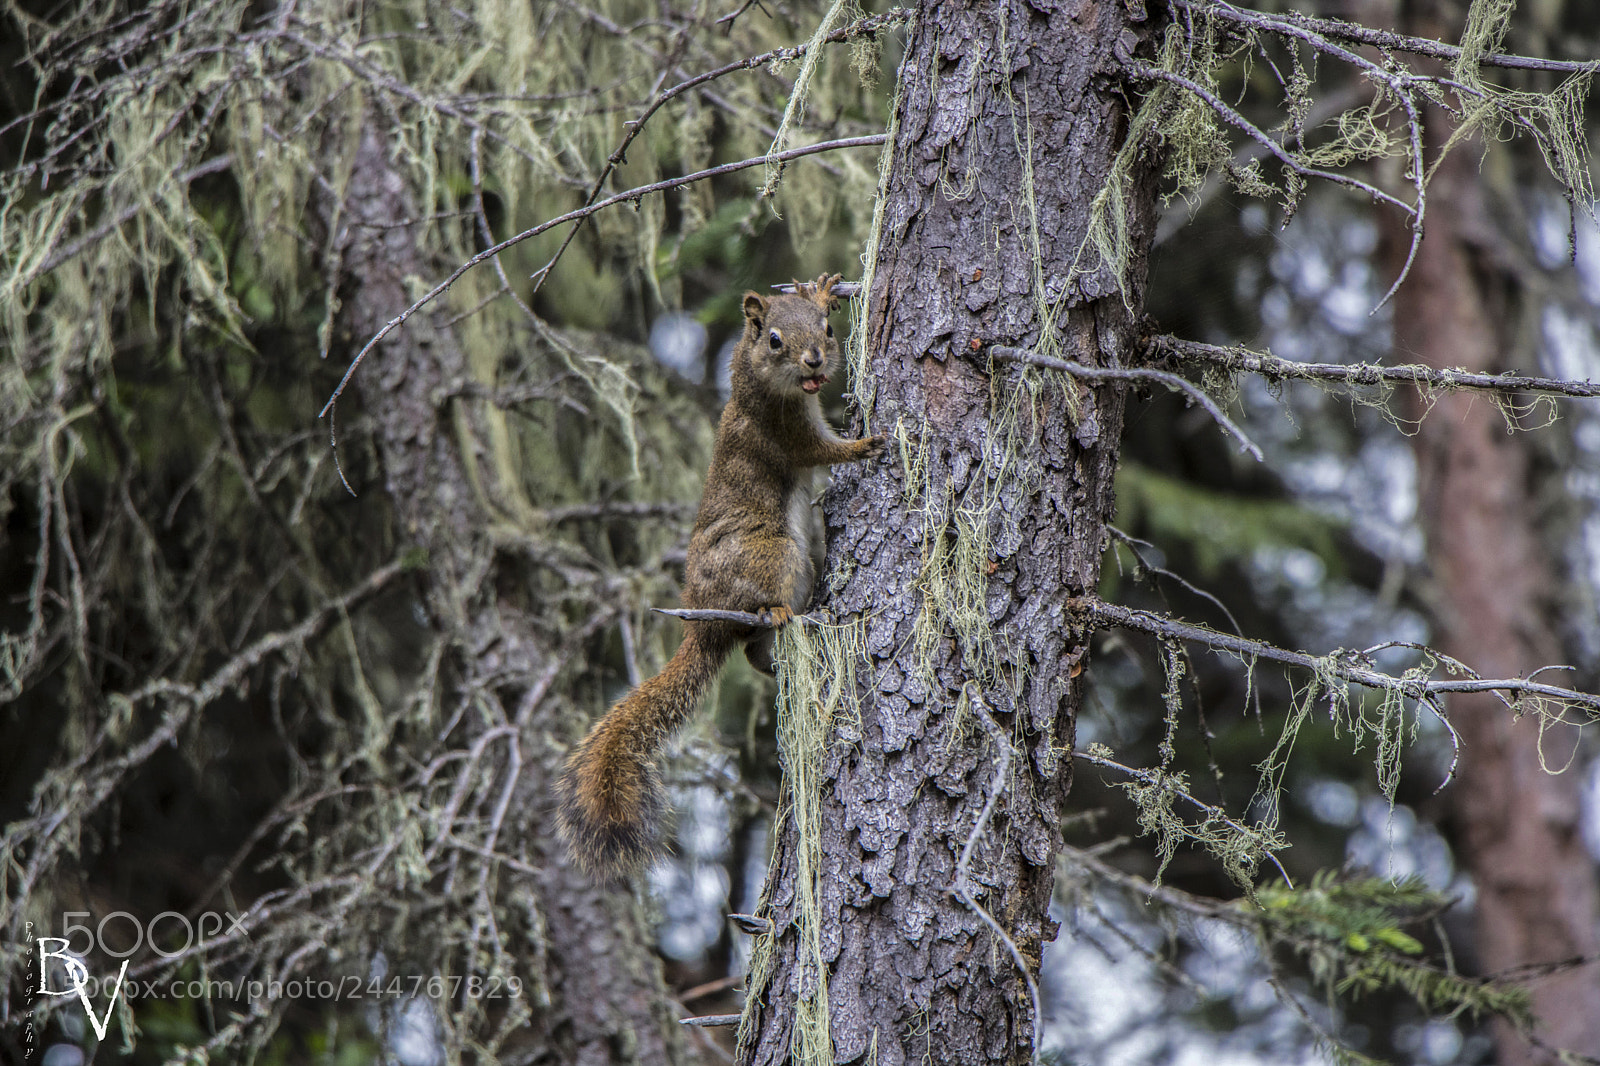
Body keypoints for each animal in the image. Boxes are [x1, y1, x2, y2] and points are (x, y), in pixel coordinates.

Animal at [557, 273, 885, 877]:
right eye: (774, 339)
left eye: (828, 328)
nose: (814, 360)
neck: (760, 381)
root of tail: (702, 626)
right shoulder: (782, 428)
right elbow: (820, 449)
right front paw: (862, 445)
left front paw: (819, 286)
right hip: (776, 555)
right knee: (757, 622)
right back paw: (776, 613)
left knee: (752, 651)